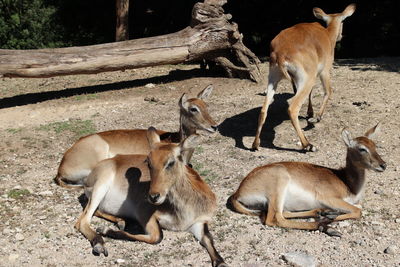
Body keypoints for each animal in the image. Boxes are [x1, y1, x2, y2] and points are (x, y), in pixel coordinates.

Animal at [73, 128, 227, 267]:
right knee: (82, 220)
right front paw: (105, 230)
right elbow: (157, 237)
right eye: (148, 161)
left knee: (95, 211)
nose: (153, 196)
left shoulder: (198, 223)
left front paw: (222, 263)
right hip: (101, 186)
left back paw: (121, 221)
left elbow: (209, 239)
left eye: (171, 162)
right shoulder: (144, 212)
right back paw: (100, 244)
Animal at [228, 124, 388, 236]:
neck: (347, 183)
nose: (383, 165)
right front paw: (331, 217)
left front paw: (329, 214)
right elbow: (358, 211)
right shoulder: (329, 198)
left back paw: (321, 213)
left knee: (283, 213)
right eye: (362, 148)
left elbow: (358, 208)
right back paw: (325, 225)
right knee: (275, 218)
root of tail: (238, 193)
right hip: (278, 185)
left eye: (375, 145)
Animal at [253, 4, 356, 152]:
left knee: (263, 110)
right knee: (292, 108)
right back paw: (308, 145)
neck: (327, 35)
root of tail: (280, 53)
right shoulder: (324, 71)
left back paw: (255, 144)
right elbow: (328, 91)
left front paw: (310, 113)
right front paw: (317, 117)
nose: (340, 36)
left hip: (273, 78)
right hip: (307, 78)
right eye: (343, 21)